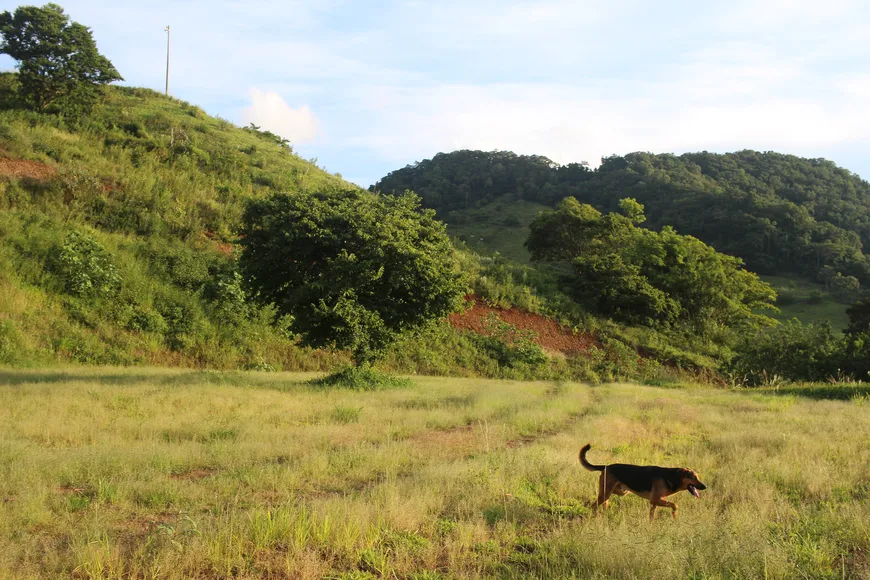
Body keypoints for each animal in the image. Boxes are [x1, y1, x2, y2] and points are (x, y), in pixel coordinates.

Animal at [580, 442, 708, 520]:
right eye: (694, 477)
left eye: (698, 477)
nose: (705, 486)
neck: (672, 476)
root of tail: (606, 466)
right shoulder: (655, 500)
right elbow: (675, 505)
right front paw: (674, 515)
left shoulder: (654, 502)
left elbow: (652, 517)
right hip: (608, 492)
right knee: (594, 506)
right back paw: (595, 516)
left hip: (620, 491)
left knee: (605, 501)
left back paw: (605, 511)